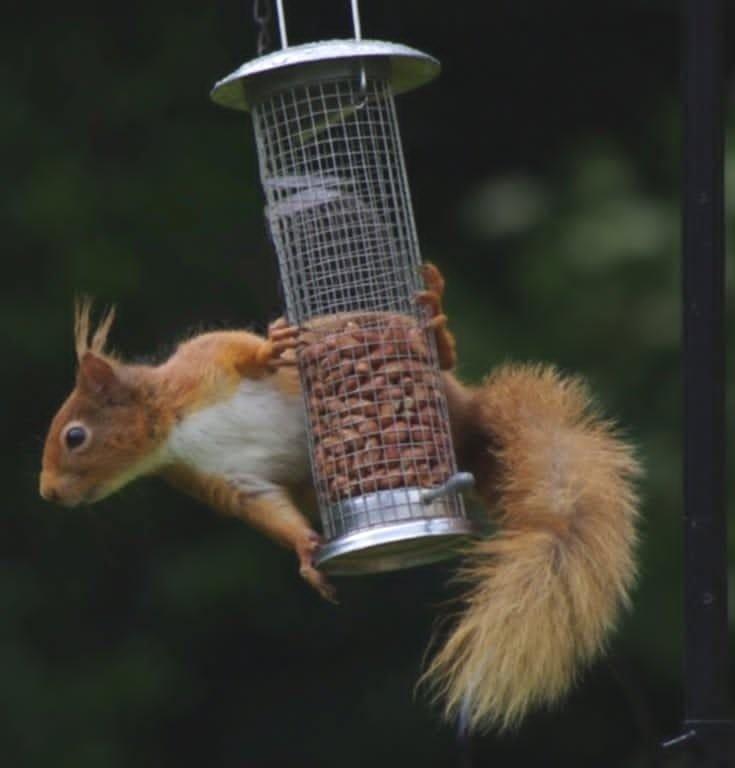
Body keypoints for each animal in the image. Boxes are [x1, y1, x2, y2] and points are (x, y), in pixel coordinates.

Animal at [39, 263, 641, 733]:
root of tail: (470, 432)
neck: (173, 427)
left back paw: (435, 319)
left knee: (443, 362)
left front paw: (274, 346)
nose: (47, 494)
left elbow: (243, 350)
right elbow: (269, 512)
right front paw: (308, 553)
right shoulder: (228, 480)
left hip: (440, 388)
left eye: (75, 436)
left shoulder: (206, 361)